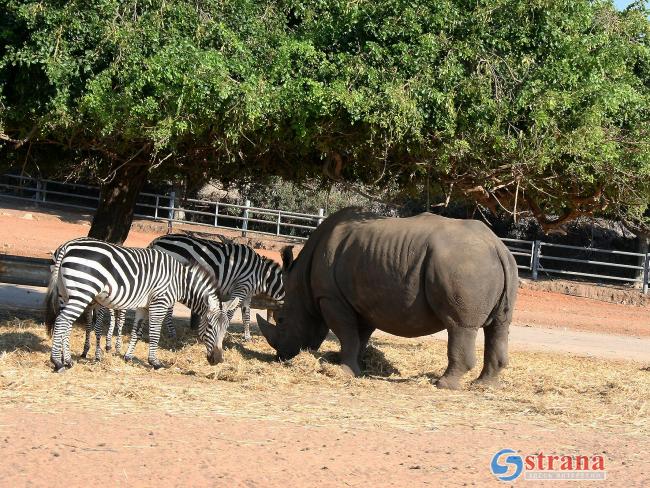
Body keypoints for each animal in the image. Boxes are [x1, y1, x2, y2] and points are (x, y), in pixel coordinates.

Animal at [43, 238, 230, 372]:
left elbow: (137, 332)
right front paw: (155, 362)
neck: (180, 282)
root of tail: (67, 246)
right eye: (210, 326)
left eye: (225, 328)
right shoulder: (159, 303)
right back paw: (58, 363)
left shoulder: (143, 306)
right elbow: (154, 334)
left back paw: (67, 361)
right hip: (82, 293)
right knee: (62, 322)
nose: (219, 359)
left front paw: (128, 357)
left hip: (66, 295)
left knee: (66, 324)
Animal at [149, 234, 286, 342]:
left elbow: (246, 314)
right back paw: (171, 333)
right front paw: (223, 332)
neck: (261, 275)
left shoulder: (248, 293)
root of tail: (157, 240)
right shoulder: (241, 287)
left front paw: (247, 337)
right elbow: (231, 312)